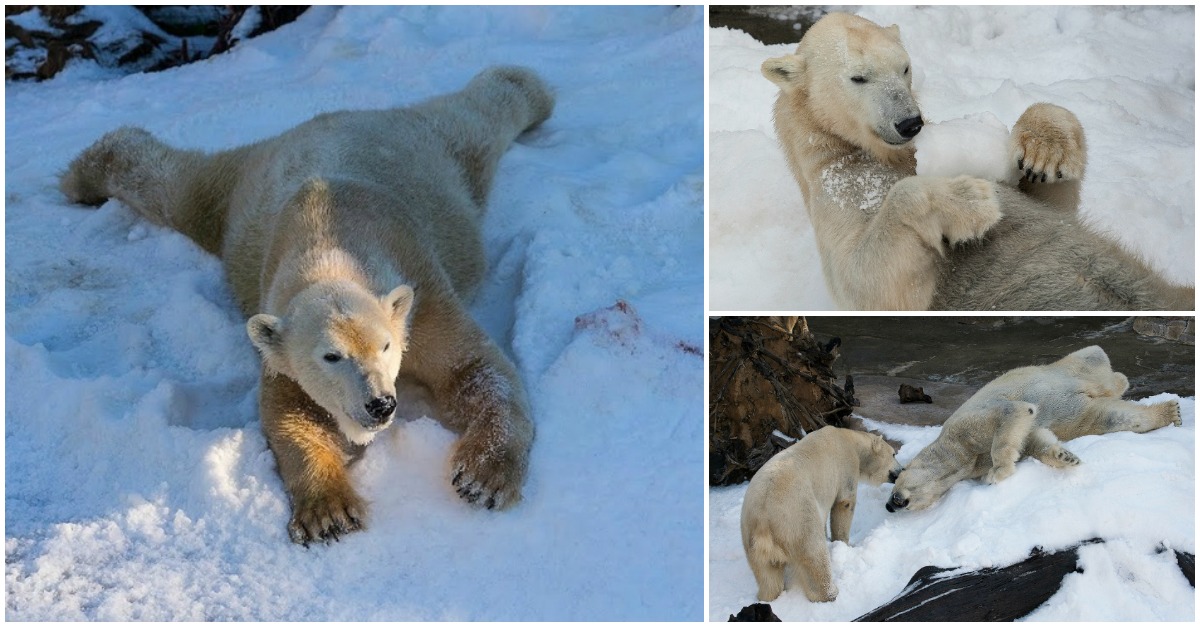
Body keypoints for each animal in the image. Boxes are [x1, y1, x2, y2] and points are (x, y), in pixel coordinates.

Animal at [60, 64, 552, 540]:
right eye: (331, 356)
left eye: (386, 346)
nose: (380, 405)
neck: (332, 245)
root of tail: (323, 121)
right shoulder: (279, 334)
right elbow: (292, 411)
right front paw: (329, 512)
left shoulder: (423, 295)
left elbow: (474, 369)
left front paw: (483, 477)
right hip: (244, 192)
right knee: (179, 191)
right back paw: (83, 175)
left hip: (428, 158)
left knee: (477, 121)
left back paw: (529, 89)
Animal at [739, 425, 902, 600]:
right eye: (893, 454)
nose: (902, 470)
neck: (849, 439)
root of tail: (763, 521)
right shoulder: (845, 465)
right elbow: (844, 503)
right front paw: (845, 543)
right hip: (797, 517)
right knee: (814, 554)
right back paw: (831, 592)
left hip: (750, 538)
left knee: (767, 574)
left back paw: (768, 595)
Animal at [758, 15, 1190, 312]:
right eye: (859, 77)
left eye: (905, 67)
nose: (910, 122)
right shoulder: (836, 192)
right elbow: (870, 283)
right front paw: (967, 201)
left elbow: (1055, 201)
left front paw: (1044, 152)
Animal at [888, 341, 1185, 511]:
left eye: (894, 485)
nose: (891, 506)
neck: (959, 456)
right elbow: (1033, 440)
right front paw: (1065, 456)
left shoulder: (965, 427)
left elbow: (1012, 413)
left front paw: (996, 474)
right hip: (1080, 411)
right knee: (1111, 416)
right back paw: (1168, 412)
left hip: (1072, 366)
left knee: (1100, 366)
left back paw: (1123, 383)